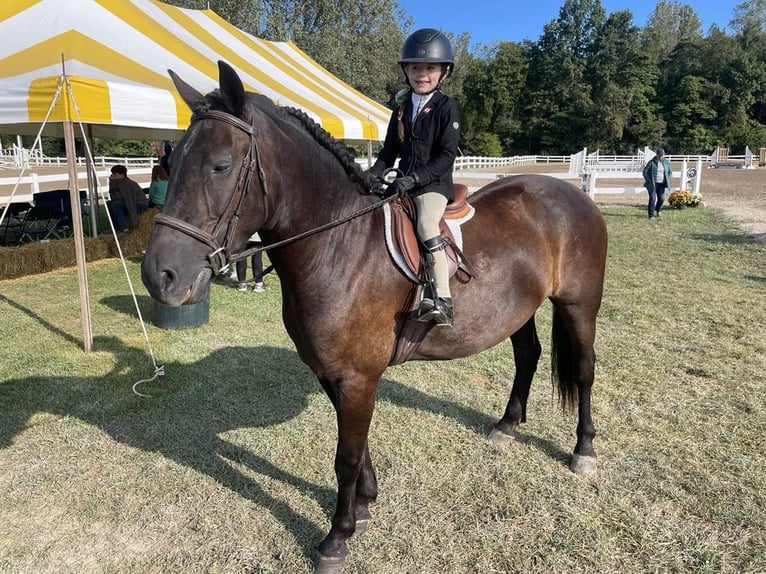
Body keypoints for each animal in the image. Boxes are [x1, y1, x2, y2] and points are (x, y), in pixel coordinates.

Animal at [142, 60, 612, 572]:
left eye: (220, 166)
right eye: (172, 164)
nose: (158, 276)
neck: (337, 244)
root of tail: (571, 193)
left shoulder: (357, 375)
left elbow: (345, 457)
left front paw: (337, 537)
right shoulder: (334, 372)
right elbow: (357, 446)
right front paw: (365, 503)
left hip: (579, 304)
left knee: (584, 371)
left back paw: (584, 450)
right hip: (516, 311)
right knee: (527, 355)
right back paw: (506, 426)